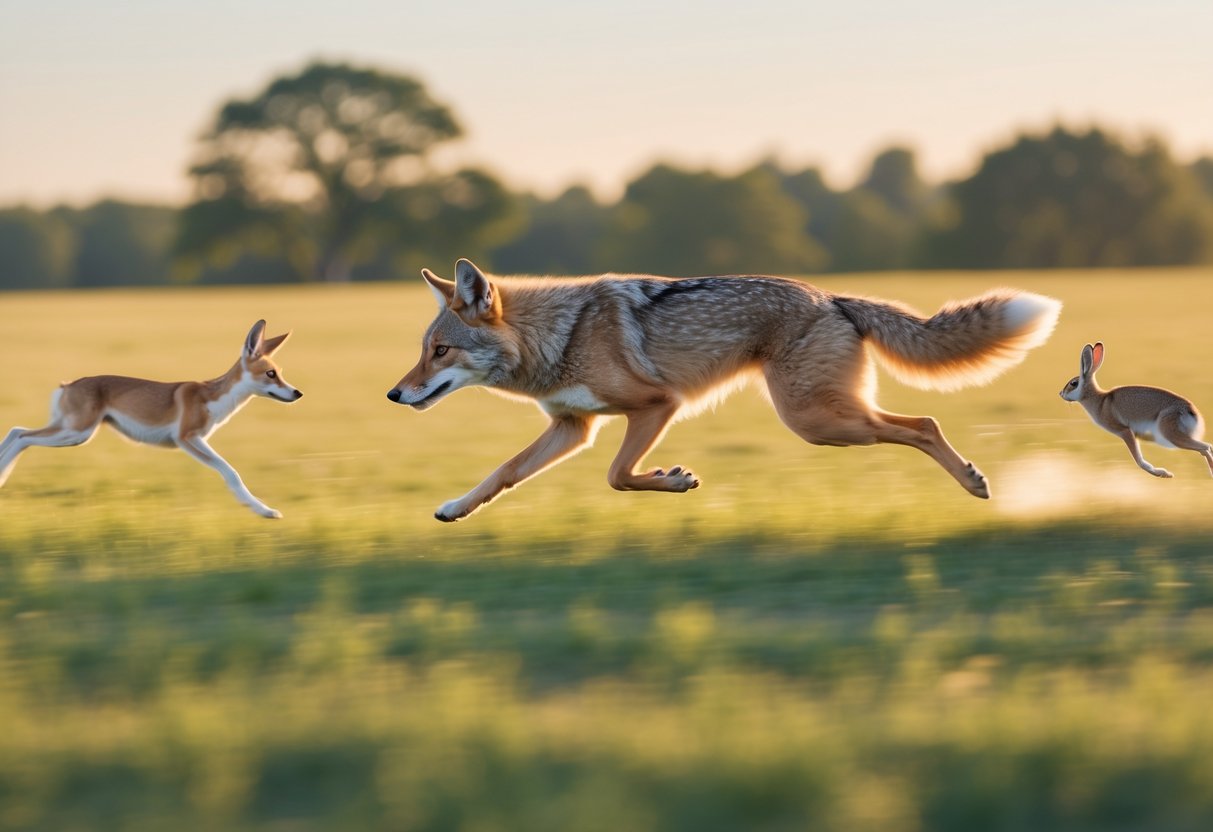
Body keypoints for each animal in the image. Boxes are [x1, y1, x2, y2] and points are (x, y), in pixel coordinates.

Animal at [1060, 341, 1213, 478]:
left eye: (1074, 383)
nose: (1060, 393)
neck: (1101, 401)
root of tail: (1191, 411)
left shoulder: (1125, 432)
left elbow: (1139, 461)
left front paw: (1163, 474)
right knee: (1206, 448)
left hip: (1171, 436)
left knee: (1206, 447)